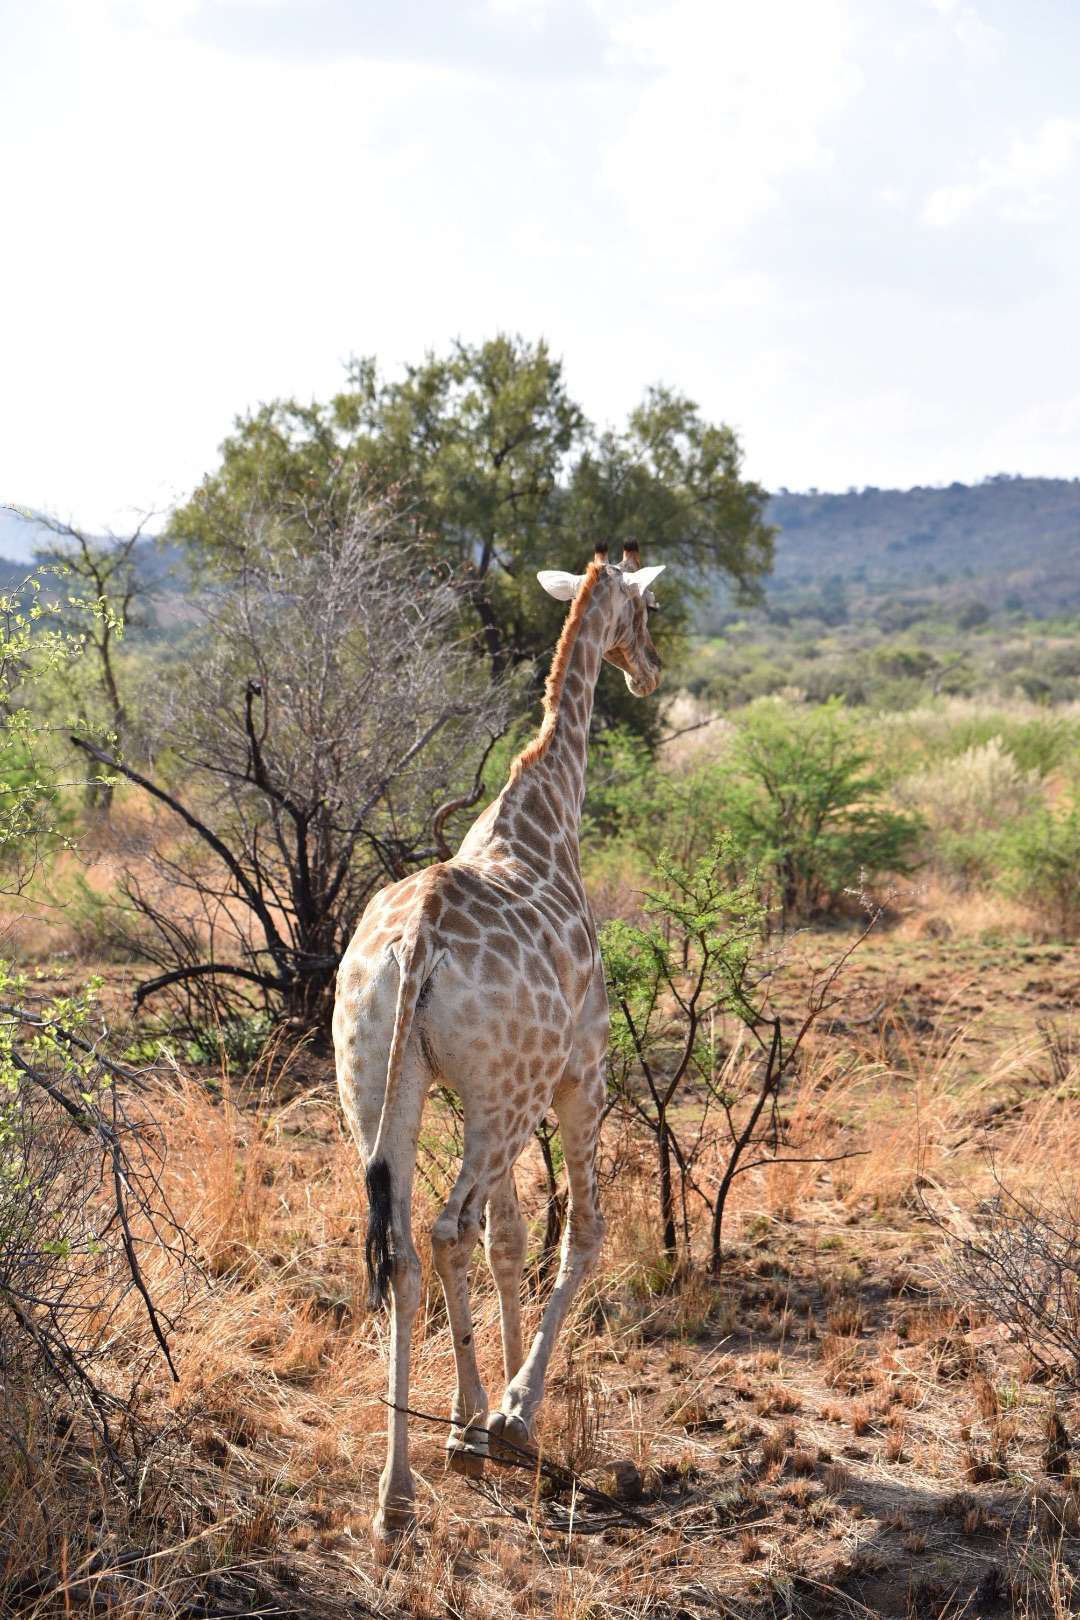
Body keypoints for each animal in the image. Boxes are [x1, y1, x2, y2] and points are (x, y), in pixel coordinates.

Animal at [333, 537, 663, 1535]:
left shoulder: (492, 1094)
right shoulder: (580, 1074)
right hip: (508, 1100)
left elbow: (509, 1239)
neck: (546, 818)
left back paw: (398, 1490)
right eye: (649, 612)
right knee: (448, 1228)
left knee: (406, 1244)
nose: (649, 671)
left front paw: (487, 1413)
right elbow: (580, 1232)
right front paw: (514, 1414)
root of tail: (417, 942)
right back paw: (464, 1439)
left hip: (378, 1089)